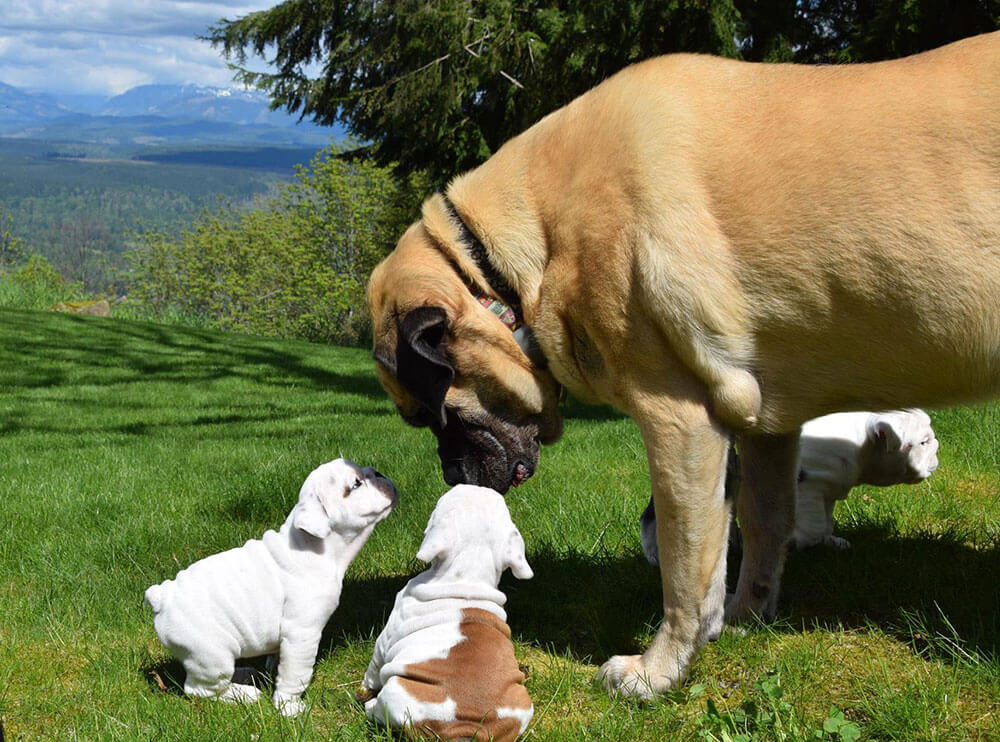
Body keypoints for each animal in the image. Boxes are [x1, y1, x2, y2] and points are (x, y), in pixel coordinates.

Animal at [145, 456, 394, 716]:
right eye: (356, 484)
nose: (377, 472)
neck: (315, 547)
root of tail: (161, 596)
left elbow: (279, 660)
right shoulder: (302, 633)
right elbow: (295, 675)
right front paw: (289, 707)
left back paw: (244, 673)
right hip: (212, 654)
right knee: (201, 689)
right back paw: (244, 694)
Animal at [358, 486, 532, 740]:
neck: (468, 576)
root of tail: (466, 727)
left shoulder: (385, 638)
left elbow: (372, 669)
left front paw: (363, 689)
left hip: (397, 692)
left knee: (381, 709)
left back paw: (370, 707)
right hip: (523, 704)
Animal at [368, 32, 1000, 700]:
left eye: (429, 418)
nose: (450, 475)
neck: (511, 257)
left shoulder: (680, 419)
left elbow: (685, 560)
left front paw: (659, 668)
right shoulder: (767, 427)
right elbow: (764, 522)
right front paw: (748, 616)